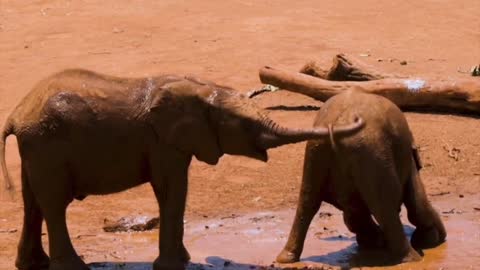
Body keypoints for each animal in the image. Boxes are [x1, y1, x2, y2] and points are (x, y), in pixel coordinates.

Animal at [0, 69, 364, 270]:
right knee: (53, 205)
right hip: (48, 145)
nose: (357, 119)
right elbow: (171, 189)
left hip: (37, 148)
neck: (202, 89)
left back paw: (33, 265)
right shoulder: (162, 142)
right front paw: (173, 265)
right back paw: (74, 268)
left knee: (33, 204)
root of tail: (16, 115)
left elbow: (176, 190)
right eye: (244, 124)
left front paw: (185, 260)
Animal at [276, 89, 448, 264]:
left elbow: (352, 215)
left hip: (316, 150)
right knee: (385, 207)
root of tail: (336, 124)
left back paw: (285, 259)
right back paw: (412, 259)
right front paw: (431, 240)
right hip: (372, 153)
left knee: (308, 202)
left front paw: (374, 242)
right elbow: (417, 203)